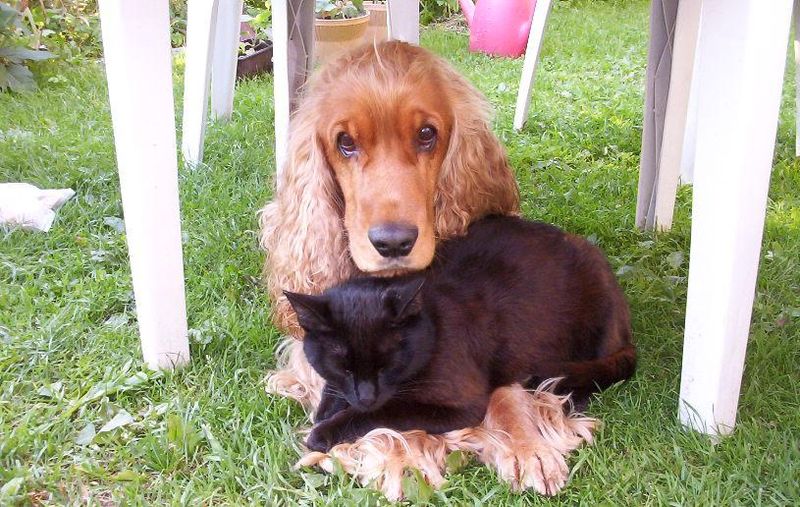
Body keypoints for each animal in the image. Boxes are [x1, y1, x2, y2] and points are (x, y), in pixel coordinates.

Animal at [284, 214, 636, 452]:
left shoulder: (459, 403)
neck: (433, 326)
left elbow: (388, 410)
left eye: (387, 365)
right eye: (343, 367)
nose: (366, 396)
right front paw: (327, 407)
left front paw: (325, 431)